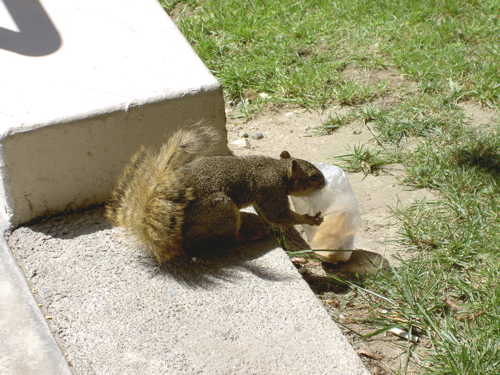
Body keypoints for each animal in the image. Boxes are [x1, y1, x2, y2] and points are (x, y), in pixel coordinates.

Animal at [106, 125, 326, 266]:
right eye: (313, 177)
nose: (324, 183)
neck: (278, 169)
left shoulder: (264, 198)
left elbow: (268, 215)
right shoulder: (272, 191)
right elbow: (279, 215)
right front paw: (311, 219)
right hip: (222, 209)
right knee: (229, 238)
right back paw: (248, 233)